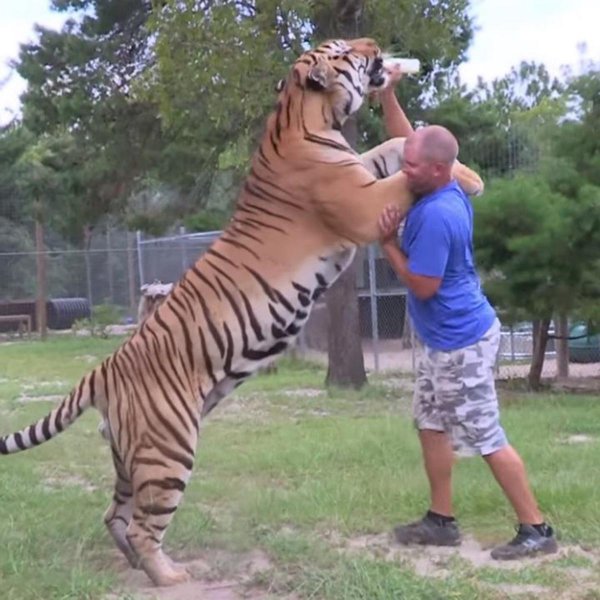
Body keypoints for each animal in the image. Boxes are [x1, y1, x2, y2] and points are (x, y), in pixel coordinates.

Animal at [0, 37, 482, 584]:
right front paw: (457, 170)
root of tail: (103, 368)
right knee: (144, 525)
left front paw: (465, 173)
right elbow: (403, 174)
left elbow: (396, 149)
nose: (375, 44)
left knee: (115, 515)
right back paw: (170, 576)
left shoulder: (362, 171)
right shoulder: (362, 203)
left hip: (130, 455)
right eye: (345, 50)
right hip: (169, 447)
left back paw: (140, 567)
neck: (303, 115)